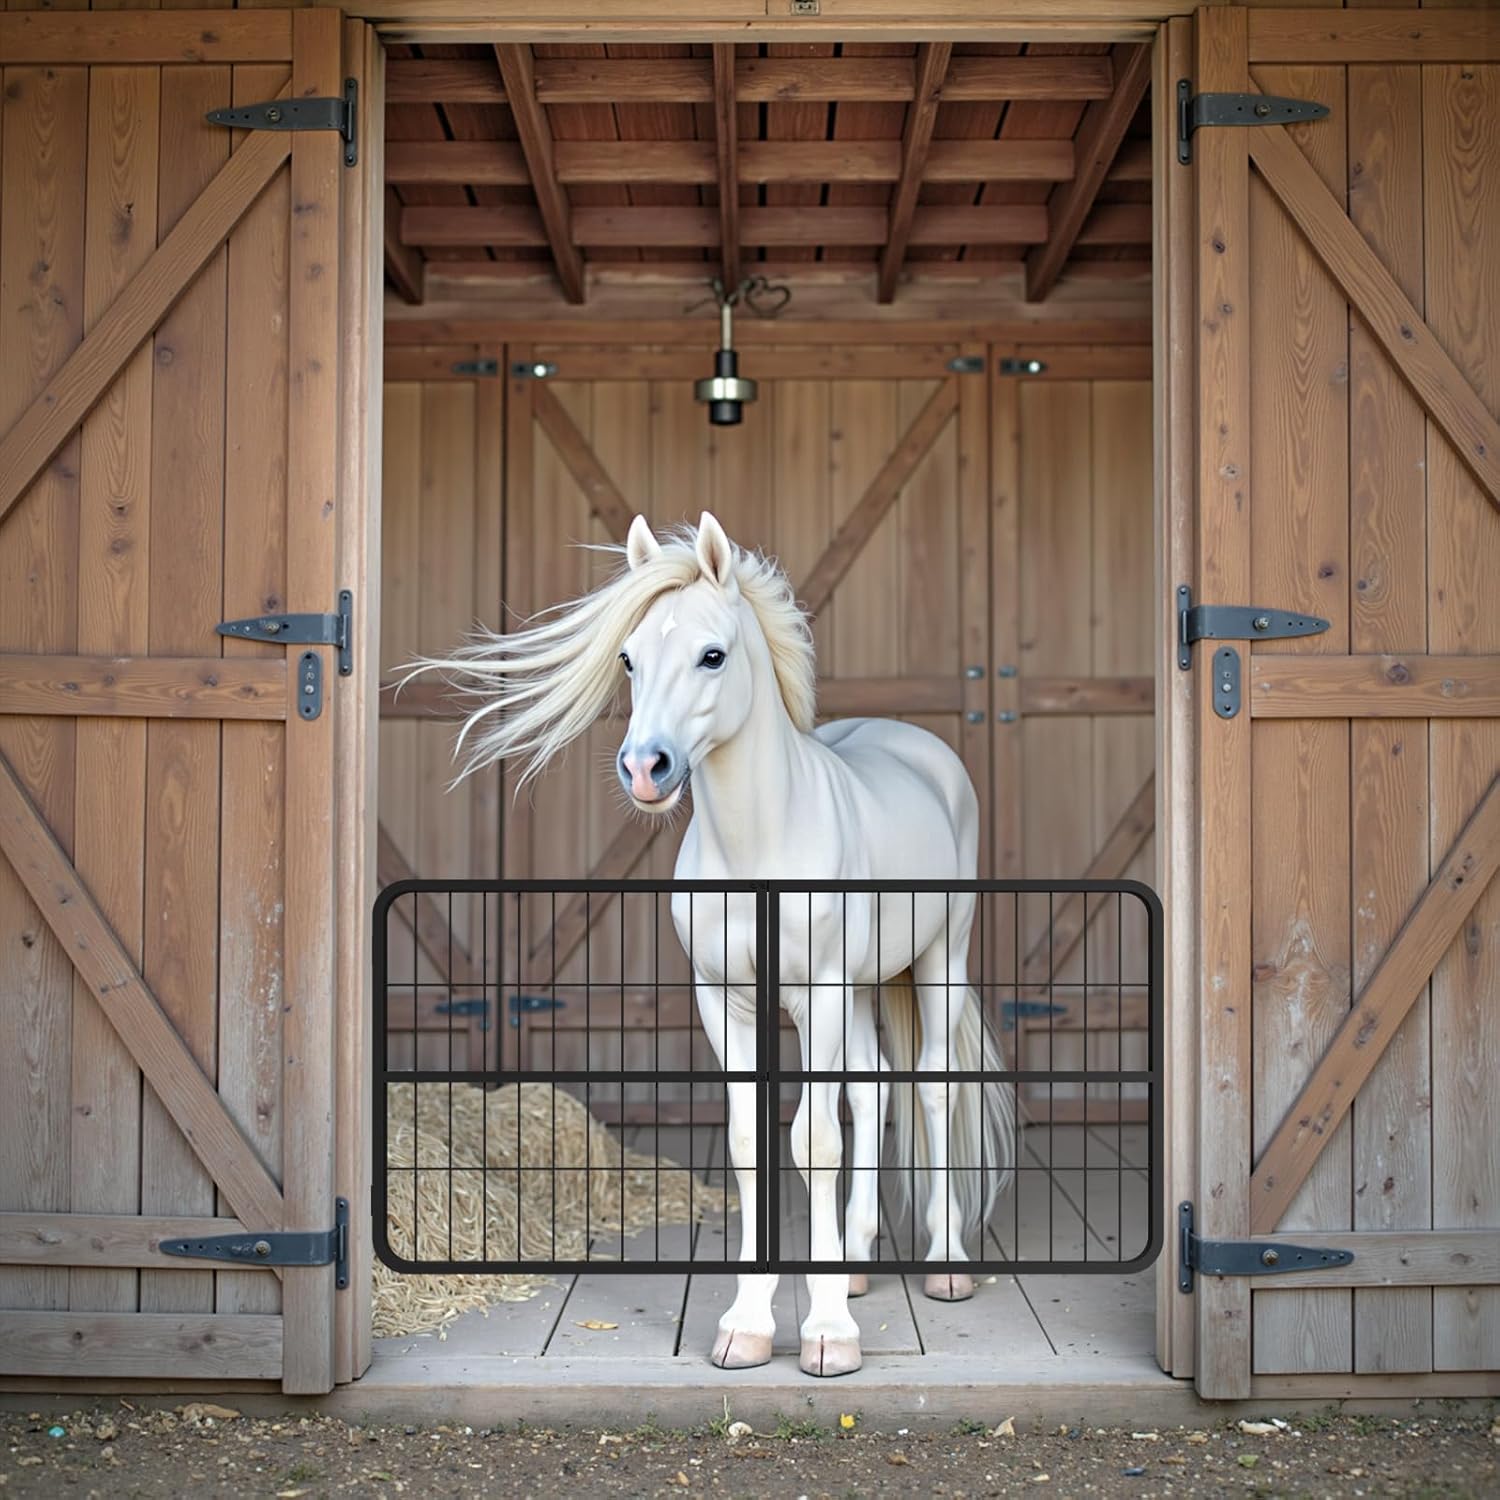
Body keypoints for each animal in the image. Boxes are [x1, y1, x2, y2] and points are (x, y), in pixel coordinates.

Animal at [415, 511, 1014, 1378]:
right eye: (628, 658)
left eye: (712, 655)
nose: (645, 768)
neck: (760, 841)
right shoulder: (725, 1003)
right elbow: (749, 1142)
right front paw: (751, 1324)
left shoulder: (818, 995)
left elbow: (814, 1142)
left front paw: (827, 1335)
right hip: (859, 993)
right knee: (871, 1091)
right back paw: (855, 1264)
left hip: (940, 963)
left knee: (934, 1089)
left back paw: (945, 1266)